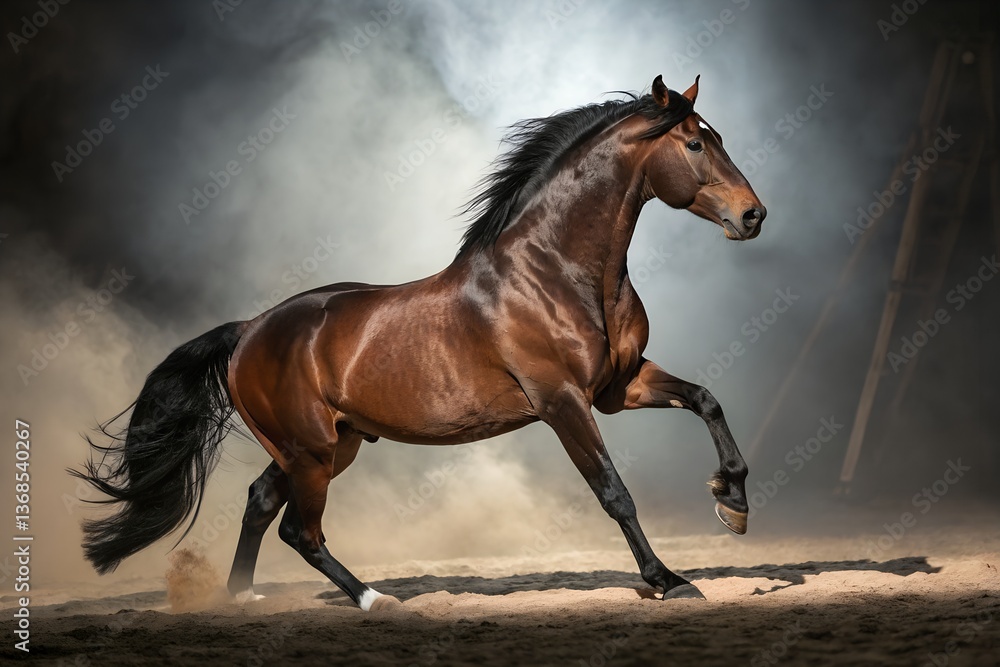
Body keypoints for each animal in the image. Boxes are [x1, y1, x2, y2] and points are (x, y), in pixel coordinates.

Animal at [74, 74, 766, 608]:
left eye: (719, 138)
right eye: (695, 142)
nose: (753, 215)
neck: (557, 271)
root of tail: (248, 331)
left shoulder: (618, 387)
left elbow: (706, 399)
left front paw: (731, 502)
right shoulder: (562, 401)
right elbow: (614, 493)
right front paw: (669, 580)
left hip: (329, 444)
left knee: (260, 502)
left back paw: (242, 600)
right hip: (312, 450)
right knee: (300, 530)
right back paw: (374, 599)